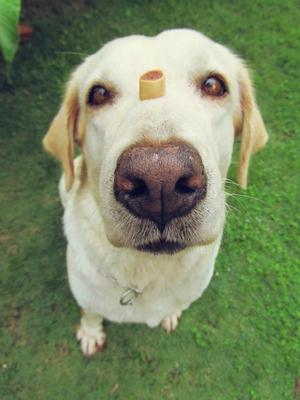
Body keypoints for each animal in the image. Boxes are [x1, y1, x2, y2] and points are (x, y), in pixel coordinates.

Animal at [42, 28, 268, 354]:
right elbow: (91, 313)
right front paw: (90, 333)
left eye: (213, 85)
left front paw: (169, 315)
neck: (149, 271)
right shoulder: (87, 296)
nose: (160, 179)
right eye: (98, 94)